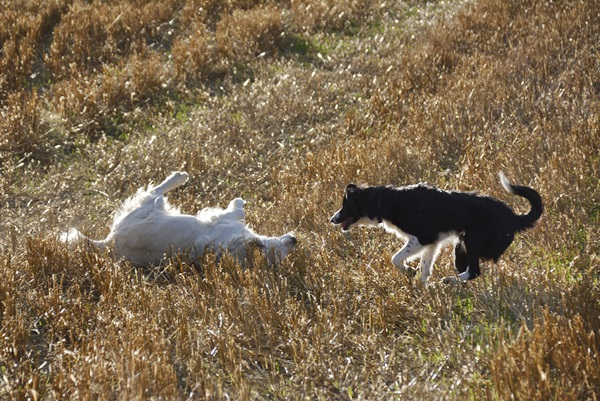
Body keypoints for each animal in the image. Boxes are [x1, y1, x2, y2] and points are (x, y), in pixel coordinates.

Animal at [62, 170, 296, 266]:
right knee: (156, 190)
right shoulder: (221, 219)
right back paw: (180, 176)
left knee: (156, 191)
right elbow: (238, 211)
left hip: (146, 208)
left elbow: (238, 212)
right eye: (278, 247)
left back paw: (179, 177)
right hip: (148, 207)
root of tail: (109, 242)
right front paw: (239, 201)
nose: (294, 240)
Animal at [332, 173, 544, 286]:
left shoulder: (422, 238)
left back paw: (449, 280)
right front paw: (423, 288)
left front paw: (408, 271)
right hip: (461, 247)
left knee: (474, 271)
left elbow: (396, 258)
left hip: (471, 241)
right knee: (468, 270)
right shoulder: (432, 244)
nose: (332, 219)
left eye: (345, 206)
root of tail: (514, 218)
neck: (383, 201)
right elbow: (425, 268)